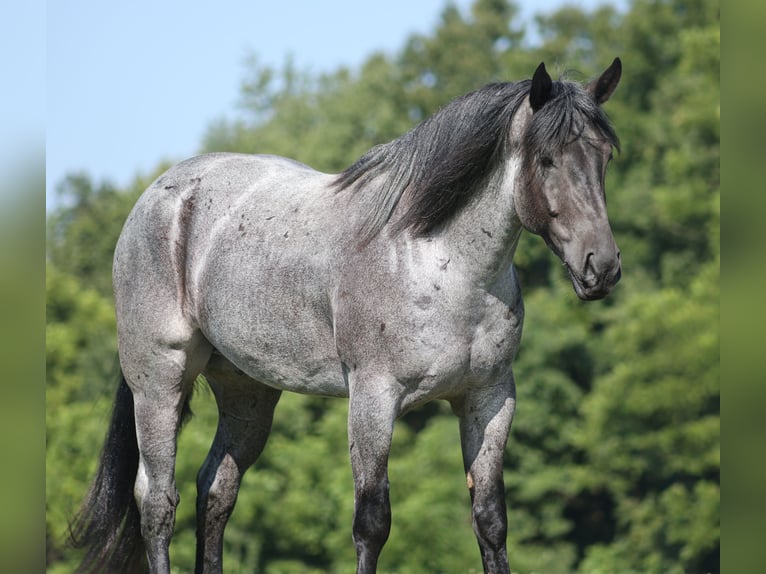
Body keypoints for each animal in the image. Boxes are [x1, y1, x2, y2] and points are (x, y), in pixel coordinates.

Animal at [70, 58, 622, 574]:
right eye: (546, 159)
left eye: (604, 156)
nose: (602, 267)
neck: (438, 262)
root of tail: (161, 194)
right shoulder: (373, 398)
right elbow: (371, 522)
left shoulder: (489, 399)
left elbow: (490, 520)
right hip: (159, 383)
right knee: (158, 502)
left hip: (246, 392)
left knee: (216, 490)